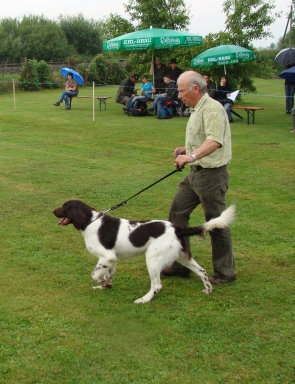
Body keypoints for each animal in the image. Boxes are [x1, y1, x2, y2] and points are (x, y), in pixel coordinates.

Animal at [53, 201, 236, 304]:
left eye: (64, 207)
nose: (53, 211)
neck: (91, 221)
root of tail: (177, 229)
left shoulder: (107, 256)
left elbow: (95, 274)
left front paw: (100, 282)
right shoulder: (113, 259)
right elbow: (108, 275)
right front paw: (106, 286)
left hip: (153, 259)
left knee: (157, 285)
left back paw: (144, 300)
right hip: (183, 257)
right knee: (202, 271)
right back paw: (208, 290)